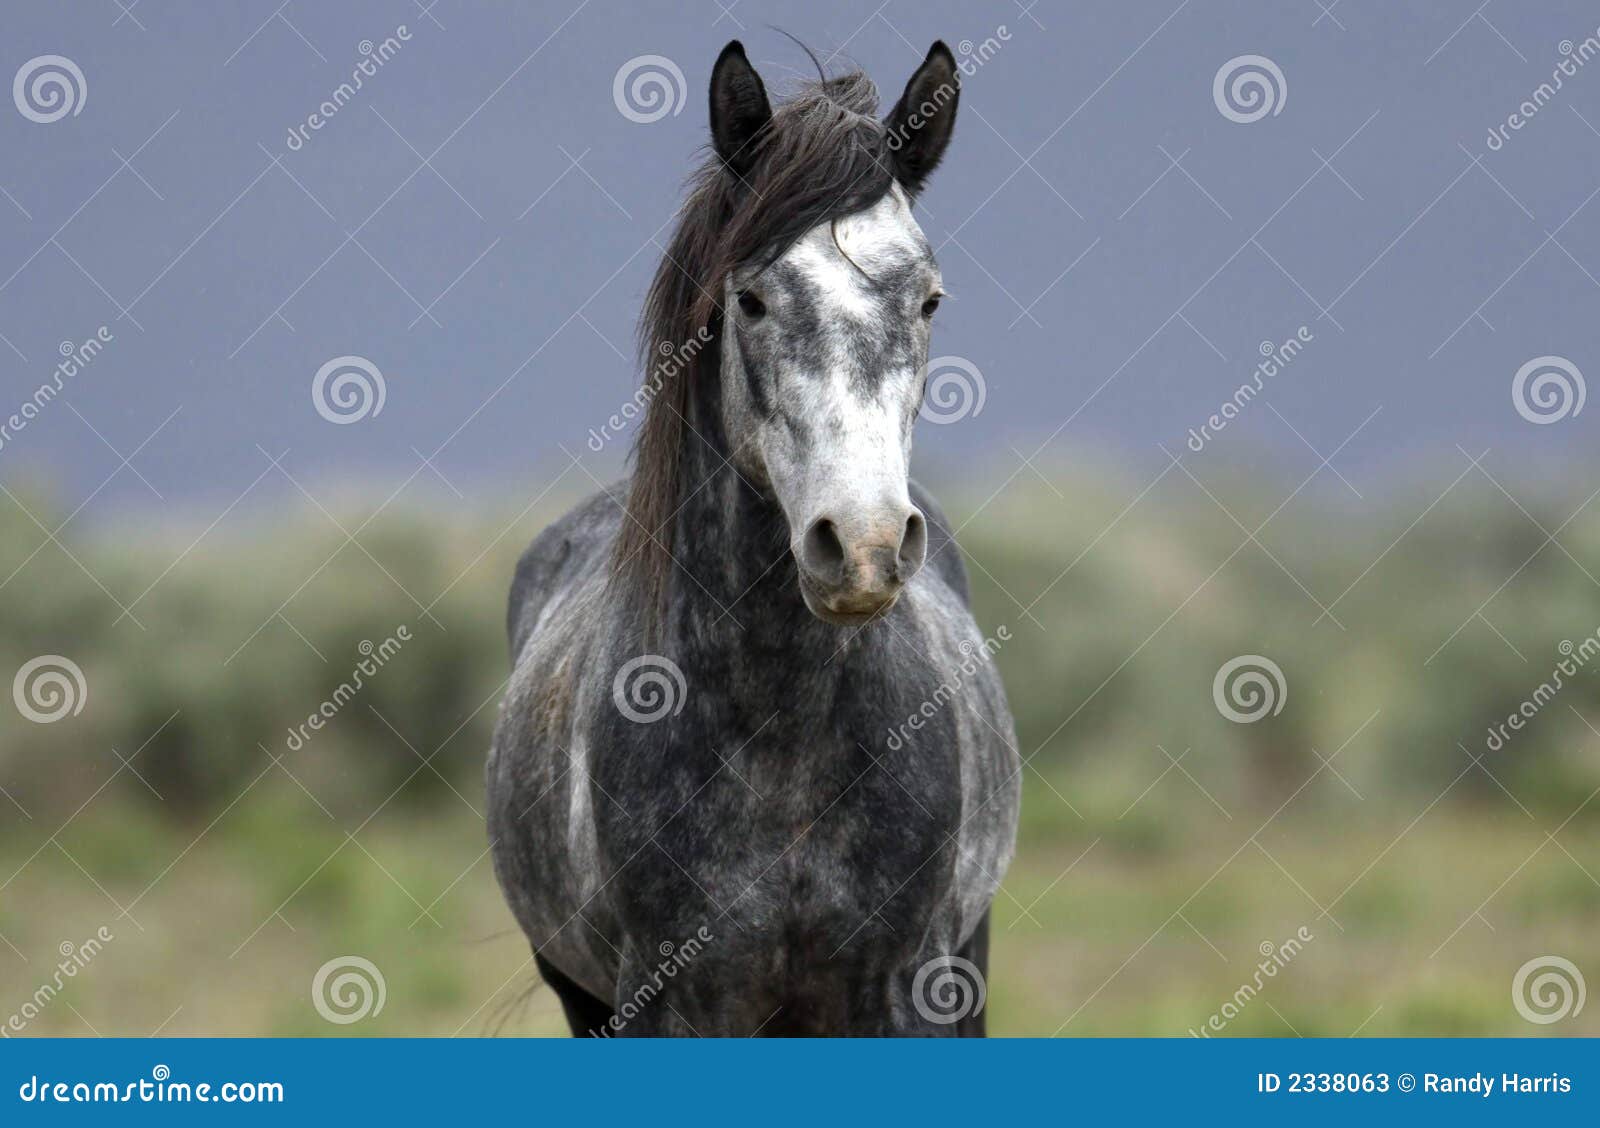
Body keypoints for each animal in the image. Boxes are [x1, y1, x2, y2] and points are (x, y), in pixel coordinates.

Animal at [487, 39, 1020, 1036]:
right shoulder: (666, 999)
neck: (786, 742)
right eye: (753, 300)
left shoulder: (904, 991)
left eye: (929, 300)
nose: (864, 546)